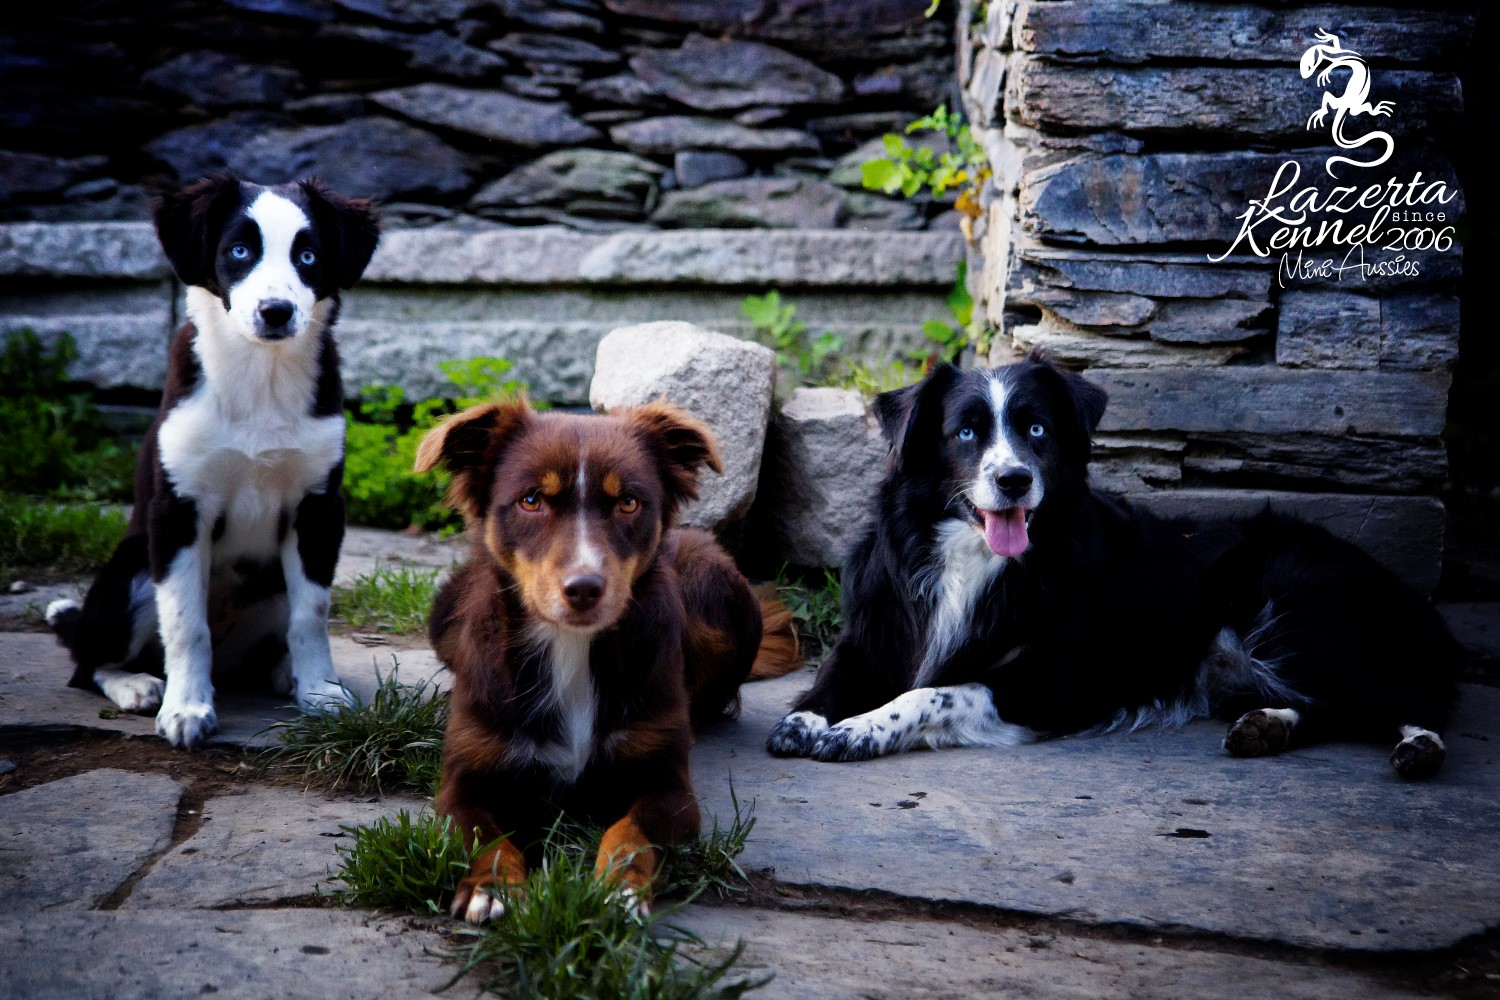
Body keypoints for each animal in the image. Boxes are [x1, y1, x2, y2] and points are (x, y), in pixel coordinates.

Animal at [49, 173, 384, 749]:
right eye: (240, 251)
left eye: (309, 256)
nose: (276, 312)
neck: (261, 377)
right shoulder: (178, 509)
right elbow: (186, 622)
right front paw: (186, 709)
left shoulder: (319, 508)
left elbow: (312, 615)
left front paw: (320, 691)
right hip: (133, 571)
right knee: (87, 663)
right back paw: (138, 685)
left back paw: (283, 672)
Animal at [417, 395, 804, 923]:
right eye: (531, 501)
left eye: (629, 503)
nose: (584, 589)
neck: (572, 647)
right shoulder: (463, 781)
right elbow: (486, 835)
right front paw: (492, 887)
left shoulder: (667, 785)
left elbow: (630, 831)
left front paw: (620, 888)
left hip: (719, 587)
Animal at [768, 355, 1458, 779]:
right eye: (965, 432)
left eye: (1037, 430)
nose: (1014, 480)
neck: (971, 558)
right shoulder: (873, 634)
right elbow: (830, 678)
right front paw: (804, 721)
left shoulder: (1047, 685)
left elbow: (931, 692)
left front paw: (858, 730)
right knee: (1333, 706)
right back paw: (1267, 726)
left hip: (1292, 607)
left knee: (1404, 695)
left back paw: (1420, 747)